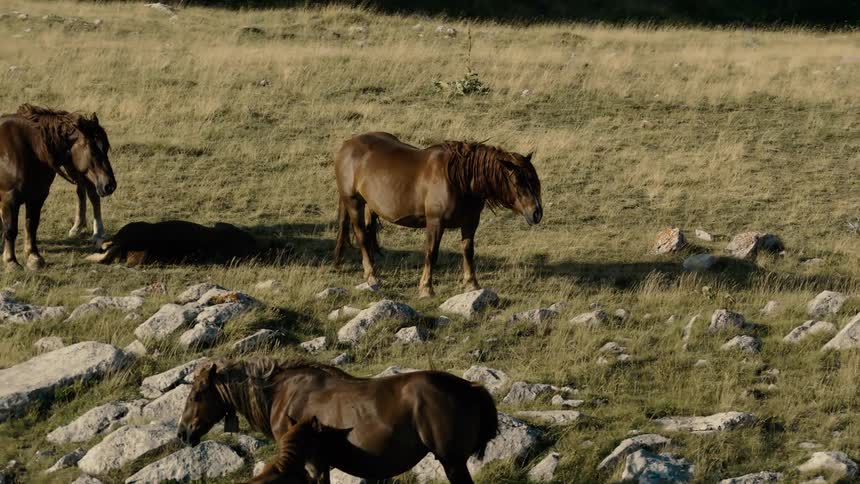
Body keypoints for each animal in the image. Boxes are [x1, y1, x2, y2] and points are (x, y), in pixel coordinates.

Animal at [0, 104, 116, 270]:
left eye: (106, 148)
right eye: (93, 150)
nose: (110, 185)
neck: (30, 148)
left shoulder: (38, 196)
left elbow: (31, 225)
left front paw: (33, 257)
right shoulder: (9, 198)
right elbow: (10, 228)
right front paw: (11, 261)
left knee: (89, 192)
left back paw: (95, 232)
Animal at [177, 358, 499, 484]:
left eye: (196, 395)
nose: (183, 433)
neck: (283, 393)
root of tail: (471, 387)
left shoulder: (311, 464)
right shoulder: (321, 465)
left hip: (452, 462)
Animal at [334, 132, 542, 298]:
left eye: (534, 180)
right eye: (518, 182)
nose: (536, 213)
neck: (459, 180)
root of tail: (347, 144)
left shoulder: (470, 222)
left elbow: (468, 251)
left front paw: (472, 284)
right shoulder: (436, 222)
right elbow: (431, 253)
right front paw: (426, 288)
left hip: (370, 206)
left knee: (369, 234)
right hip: (353, 202)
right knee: (361, 235)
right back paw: (371, 275)